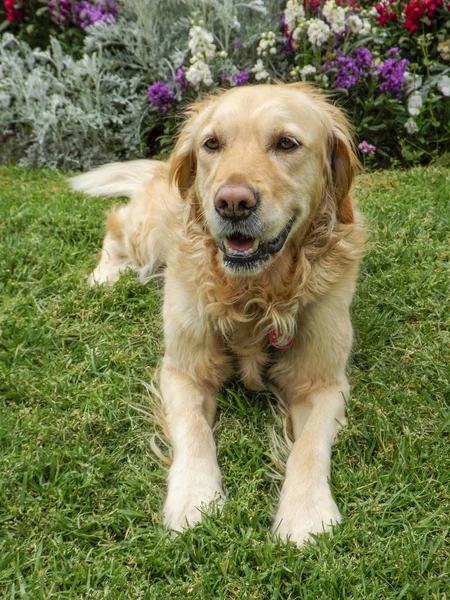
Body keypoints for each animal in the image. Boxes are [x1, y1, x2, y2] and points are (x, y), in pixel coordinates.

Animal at [71, 82, 366, 548]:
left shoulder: (323, 383)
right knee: (116, 230)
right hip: (147, 234)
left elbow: (310, 446)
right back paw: (105, 276)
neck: (254, 294)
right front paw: (194, 499)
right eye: (212, 144)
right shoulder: (182, 371)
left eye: (286, 143)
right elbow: (194, 432)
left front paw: (305, 513)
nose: (232, 203)